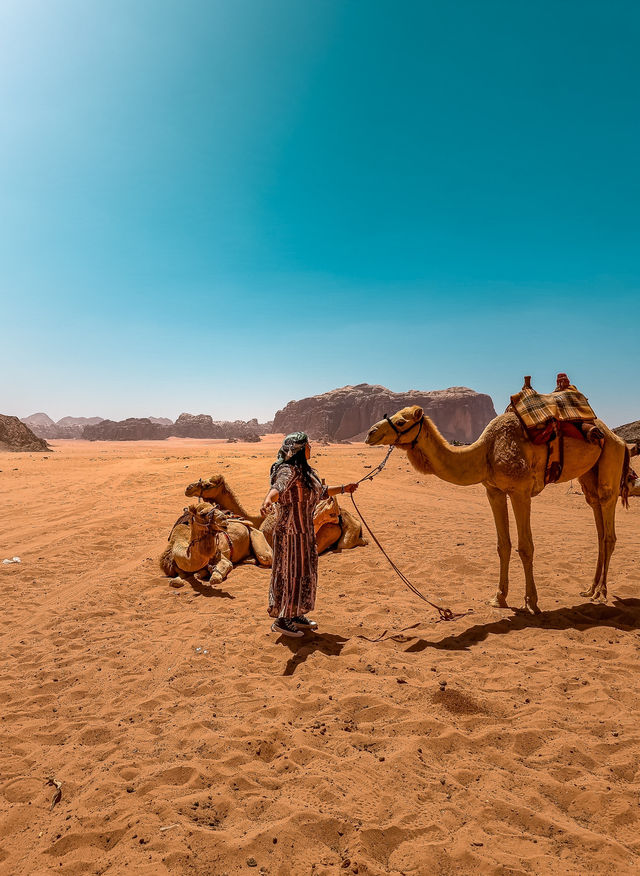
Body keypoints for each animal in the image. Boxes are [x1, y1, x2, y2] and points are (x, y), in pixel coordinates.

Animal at [364, 402, 632, 608]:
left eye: (401, 422)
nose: (370, 433)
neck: (486, 452)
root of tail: (618, 439)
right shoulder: (493, 491)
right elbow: (503, 545)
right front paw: (498, 598)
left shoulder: (520, 491)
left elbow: (525, 547)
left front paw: (531, 601)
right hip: (589, 476)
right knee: (597, 521)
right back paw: (590, 589)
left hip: (611, 458)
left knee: (608, 527)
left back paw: (601, 593)